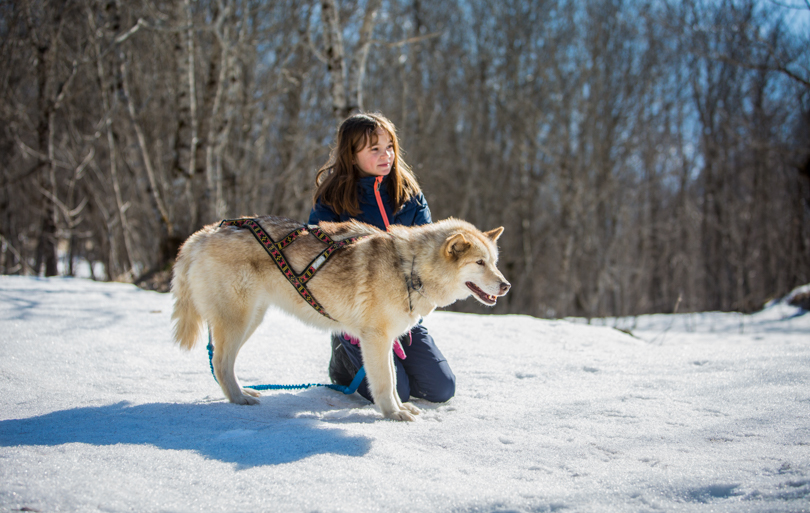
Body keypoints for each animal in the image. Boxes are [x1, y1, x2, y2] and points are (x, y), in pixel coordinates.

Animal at [171, 216, 508, 420]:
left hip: (252, 319)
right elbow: (387, 382)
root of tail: (202, 234)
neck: (410, 267)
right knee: (220, 362)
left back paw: (244, 392)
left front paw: (401, 408)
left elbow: (393, 380)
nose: (506, 285)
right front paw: (393, 414)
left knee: (222, 363)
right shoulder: (376, 339)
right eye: (479, 263)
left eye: (494, 262)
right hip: (238, 321)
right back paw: (240, 398)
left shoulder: (386, 342)